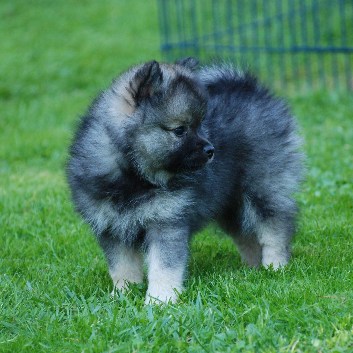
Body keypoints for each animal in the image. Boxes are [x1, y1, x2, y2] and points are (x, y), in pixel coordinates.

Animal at [66, 57, 302, 302]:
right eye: (180, 130)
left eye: (200, 125)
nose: (211, 150)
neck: (134, 177)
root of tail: (252, 88)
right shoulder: (112, 228)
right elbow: (122, 267)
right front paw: (123, 293)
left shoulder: (166, 222)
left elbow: (163, 267)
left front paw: (159, 300)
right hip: (230, 204)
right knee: (246, 234)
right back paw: (253, 271)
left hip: (262, 188)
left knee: (275, 226)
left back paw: (275, 266)